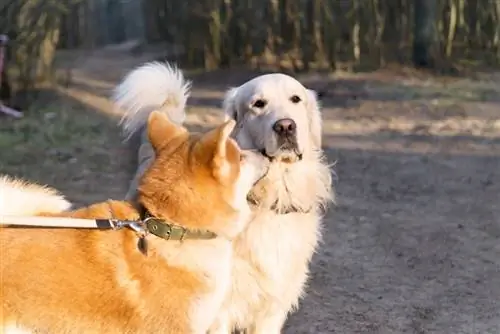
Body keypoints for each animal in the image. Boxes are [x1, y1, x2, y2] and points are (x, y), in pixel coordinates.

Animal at [113, 62, 332, 332]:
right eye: (258, 104)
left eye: (296, 99)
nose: (285, 126)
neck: (268, 196)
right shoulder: (219, 310)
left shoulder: (272, 308)